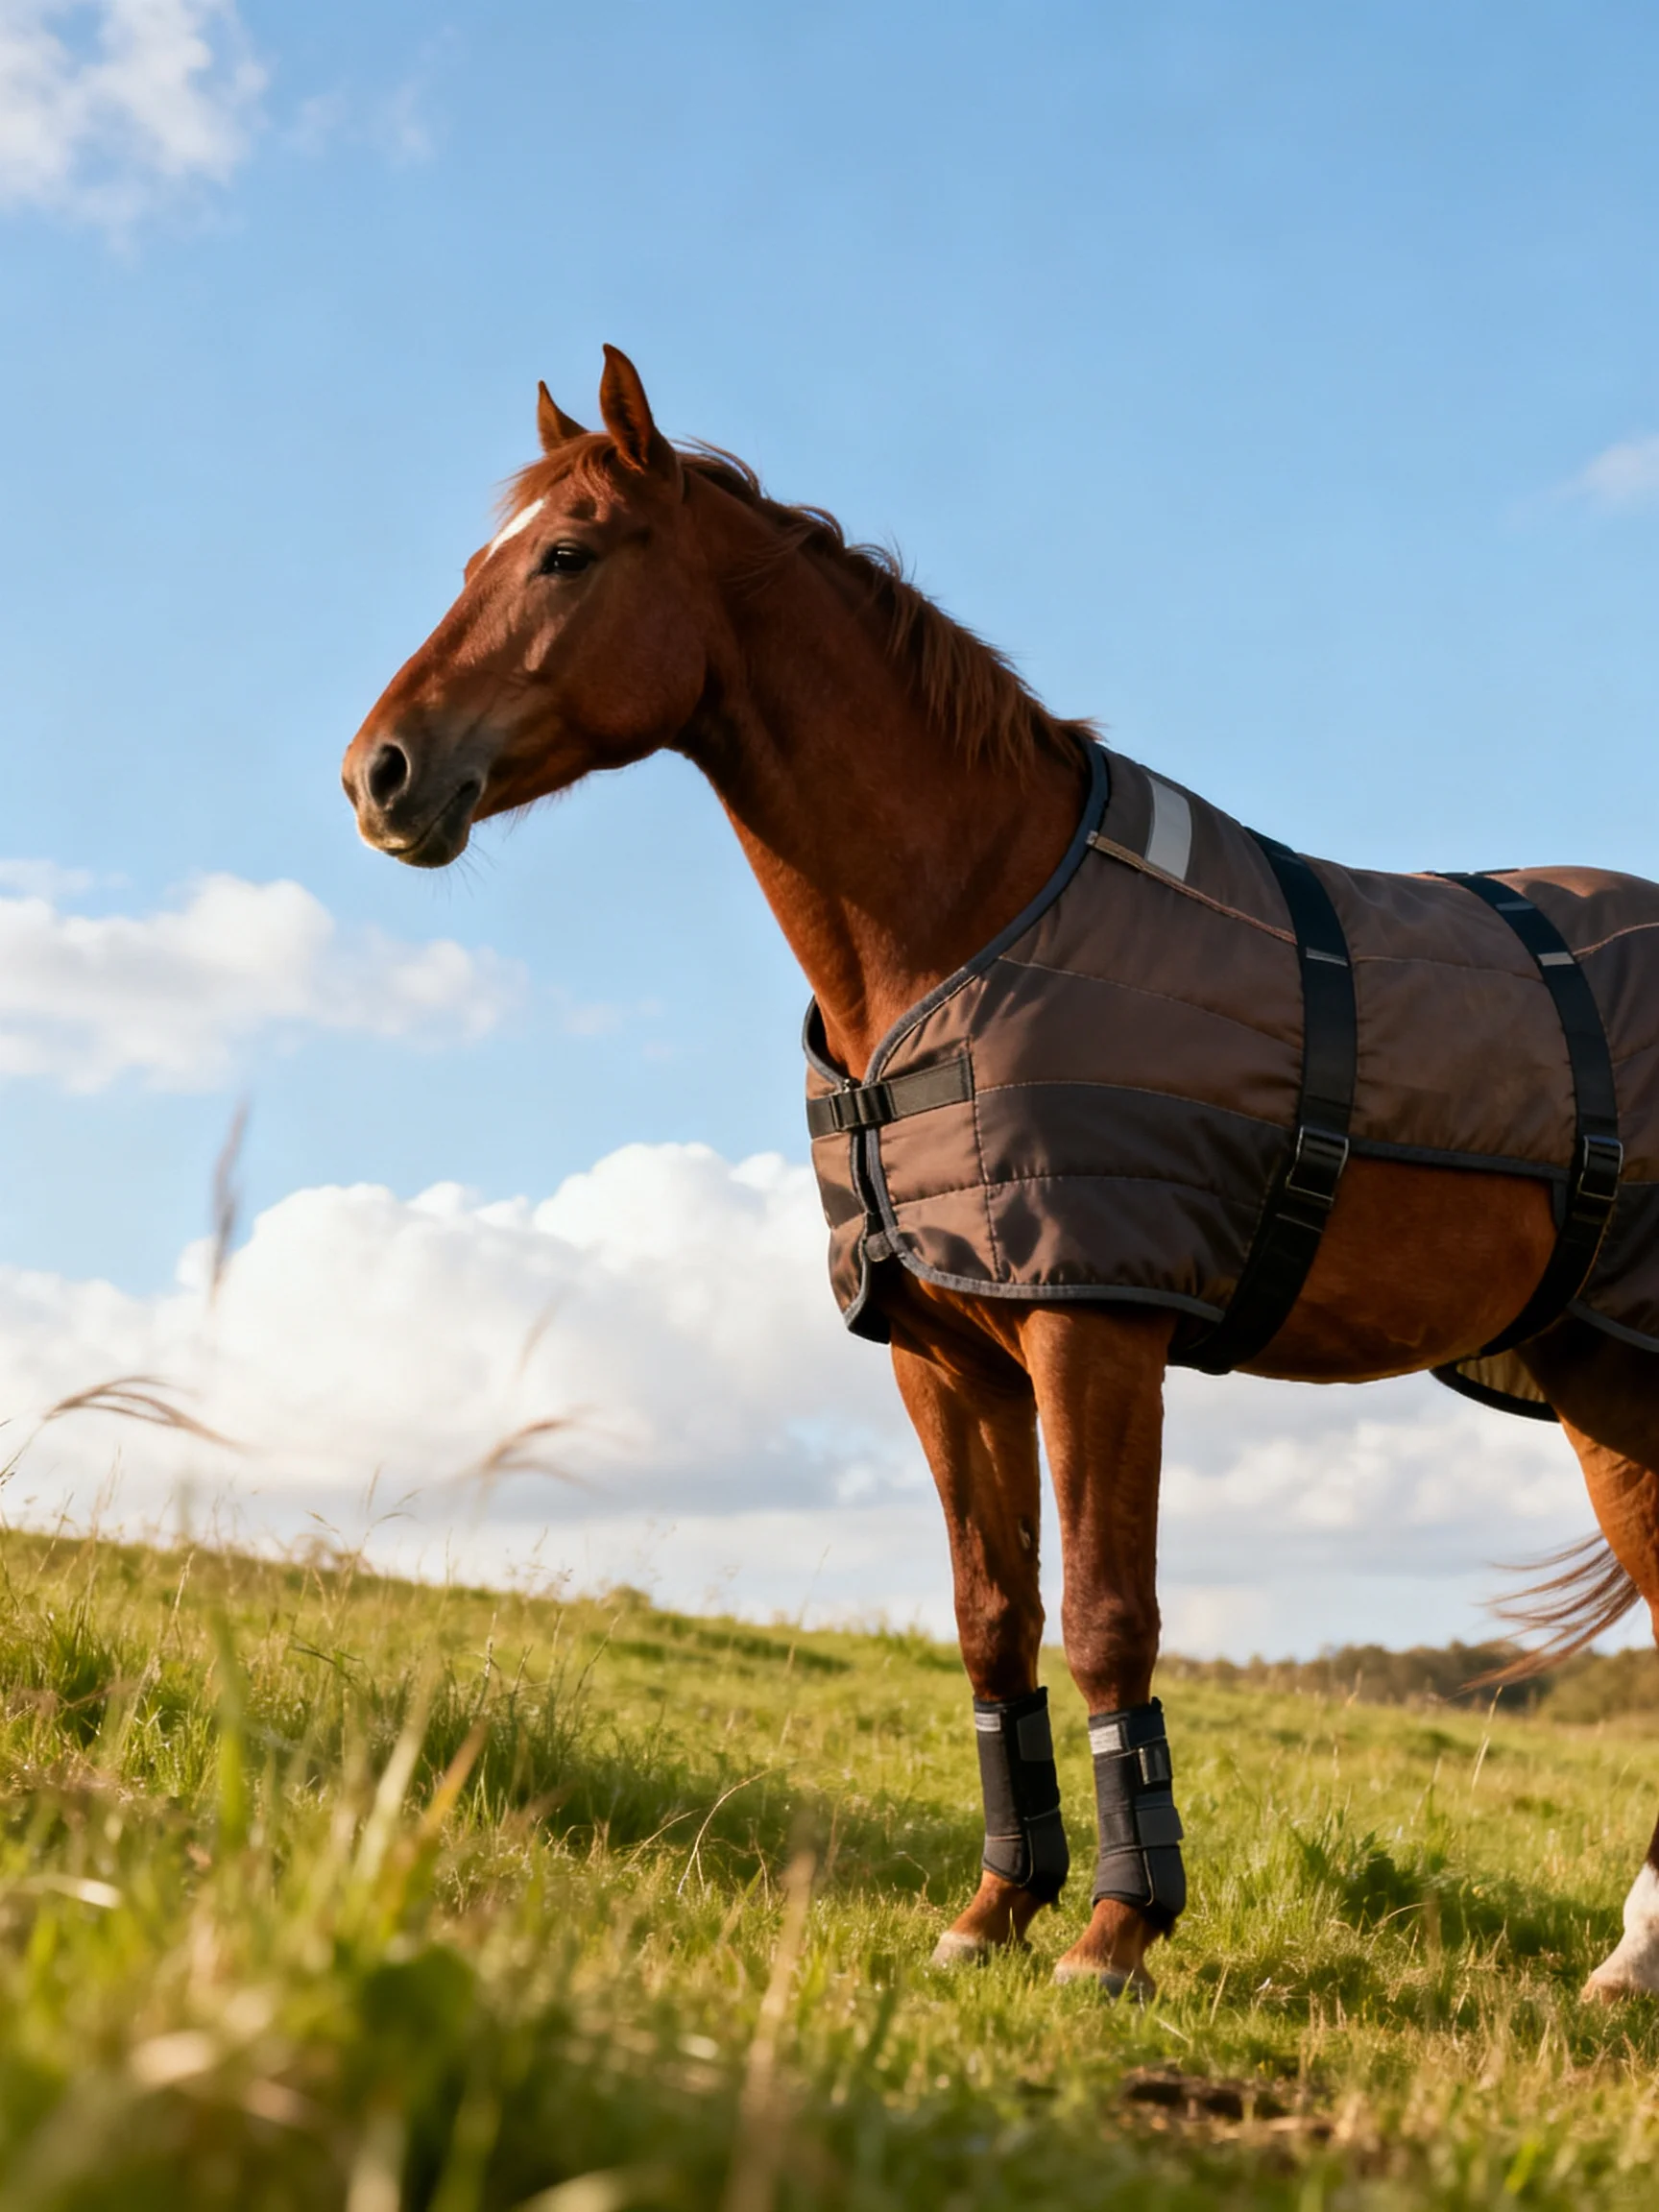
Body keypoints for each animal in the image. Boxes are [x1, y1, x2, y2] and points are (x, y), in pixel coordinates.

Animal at [343, 347, 1659, 2002]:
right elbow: (990, 1623)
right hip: (1604, 1388)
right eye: (481, 559)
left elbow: (1103, 1619)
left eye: (567, 556)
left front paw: (1115, 1933)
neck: (967, 919)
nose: (380, 774)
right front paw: (992, 1910)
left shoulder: (1094, 1327)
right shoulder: (945, 1356)